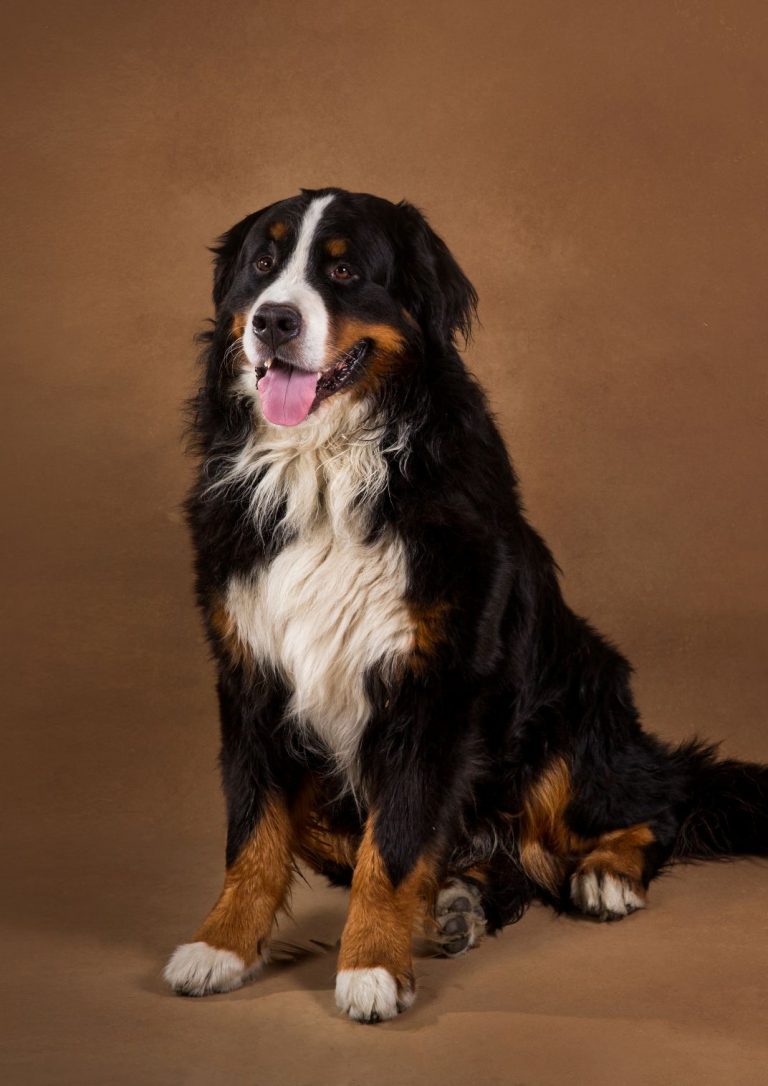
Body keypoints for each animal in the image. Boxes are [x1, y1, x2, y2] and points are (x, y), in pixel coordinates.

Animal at [166, 184, 768, 1016]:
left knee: (657, 804)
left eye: (344, 270)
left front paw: (371, 968)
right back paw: (461, 900)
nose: (273, 320)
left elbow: (393, 841)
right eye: (263, 264)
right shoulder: (252, 674)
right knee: (493, 861)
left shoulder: (434, 684)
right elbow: (254, 834)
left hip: (572, 704)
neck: (324, 469)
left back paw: (605, 875)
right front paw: (221, 945)